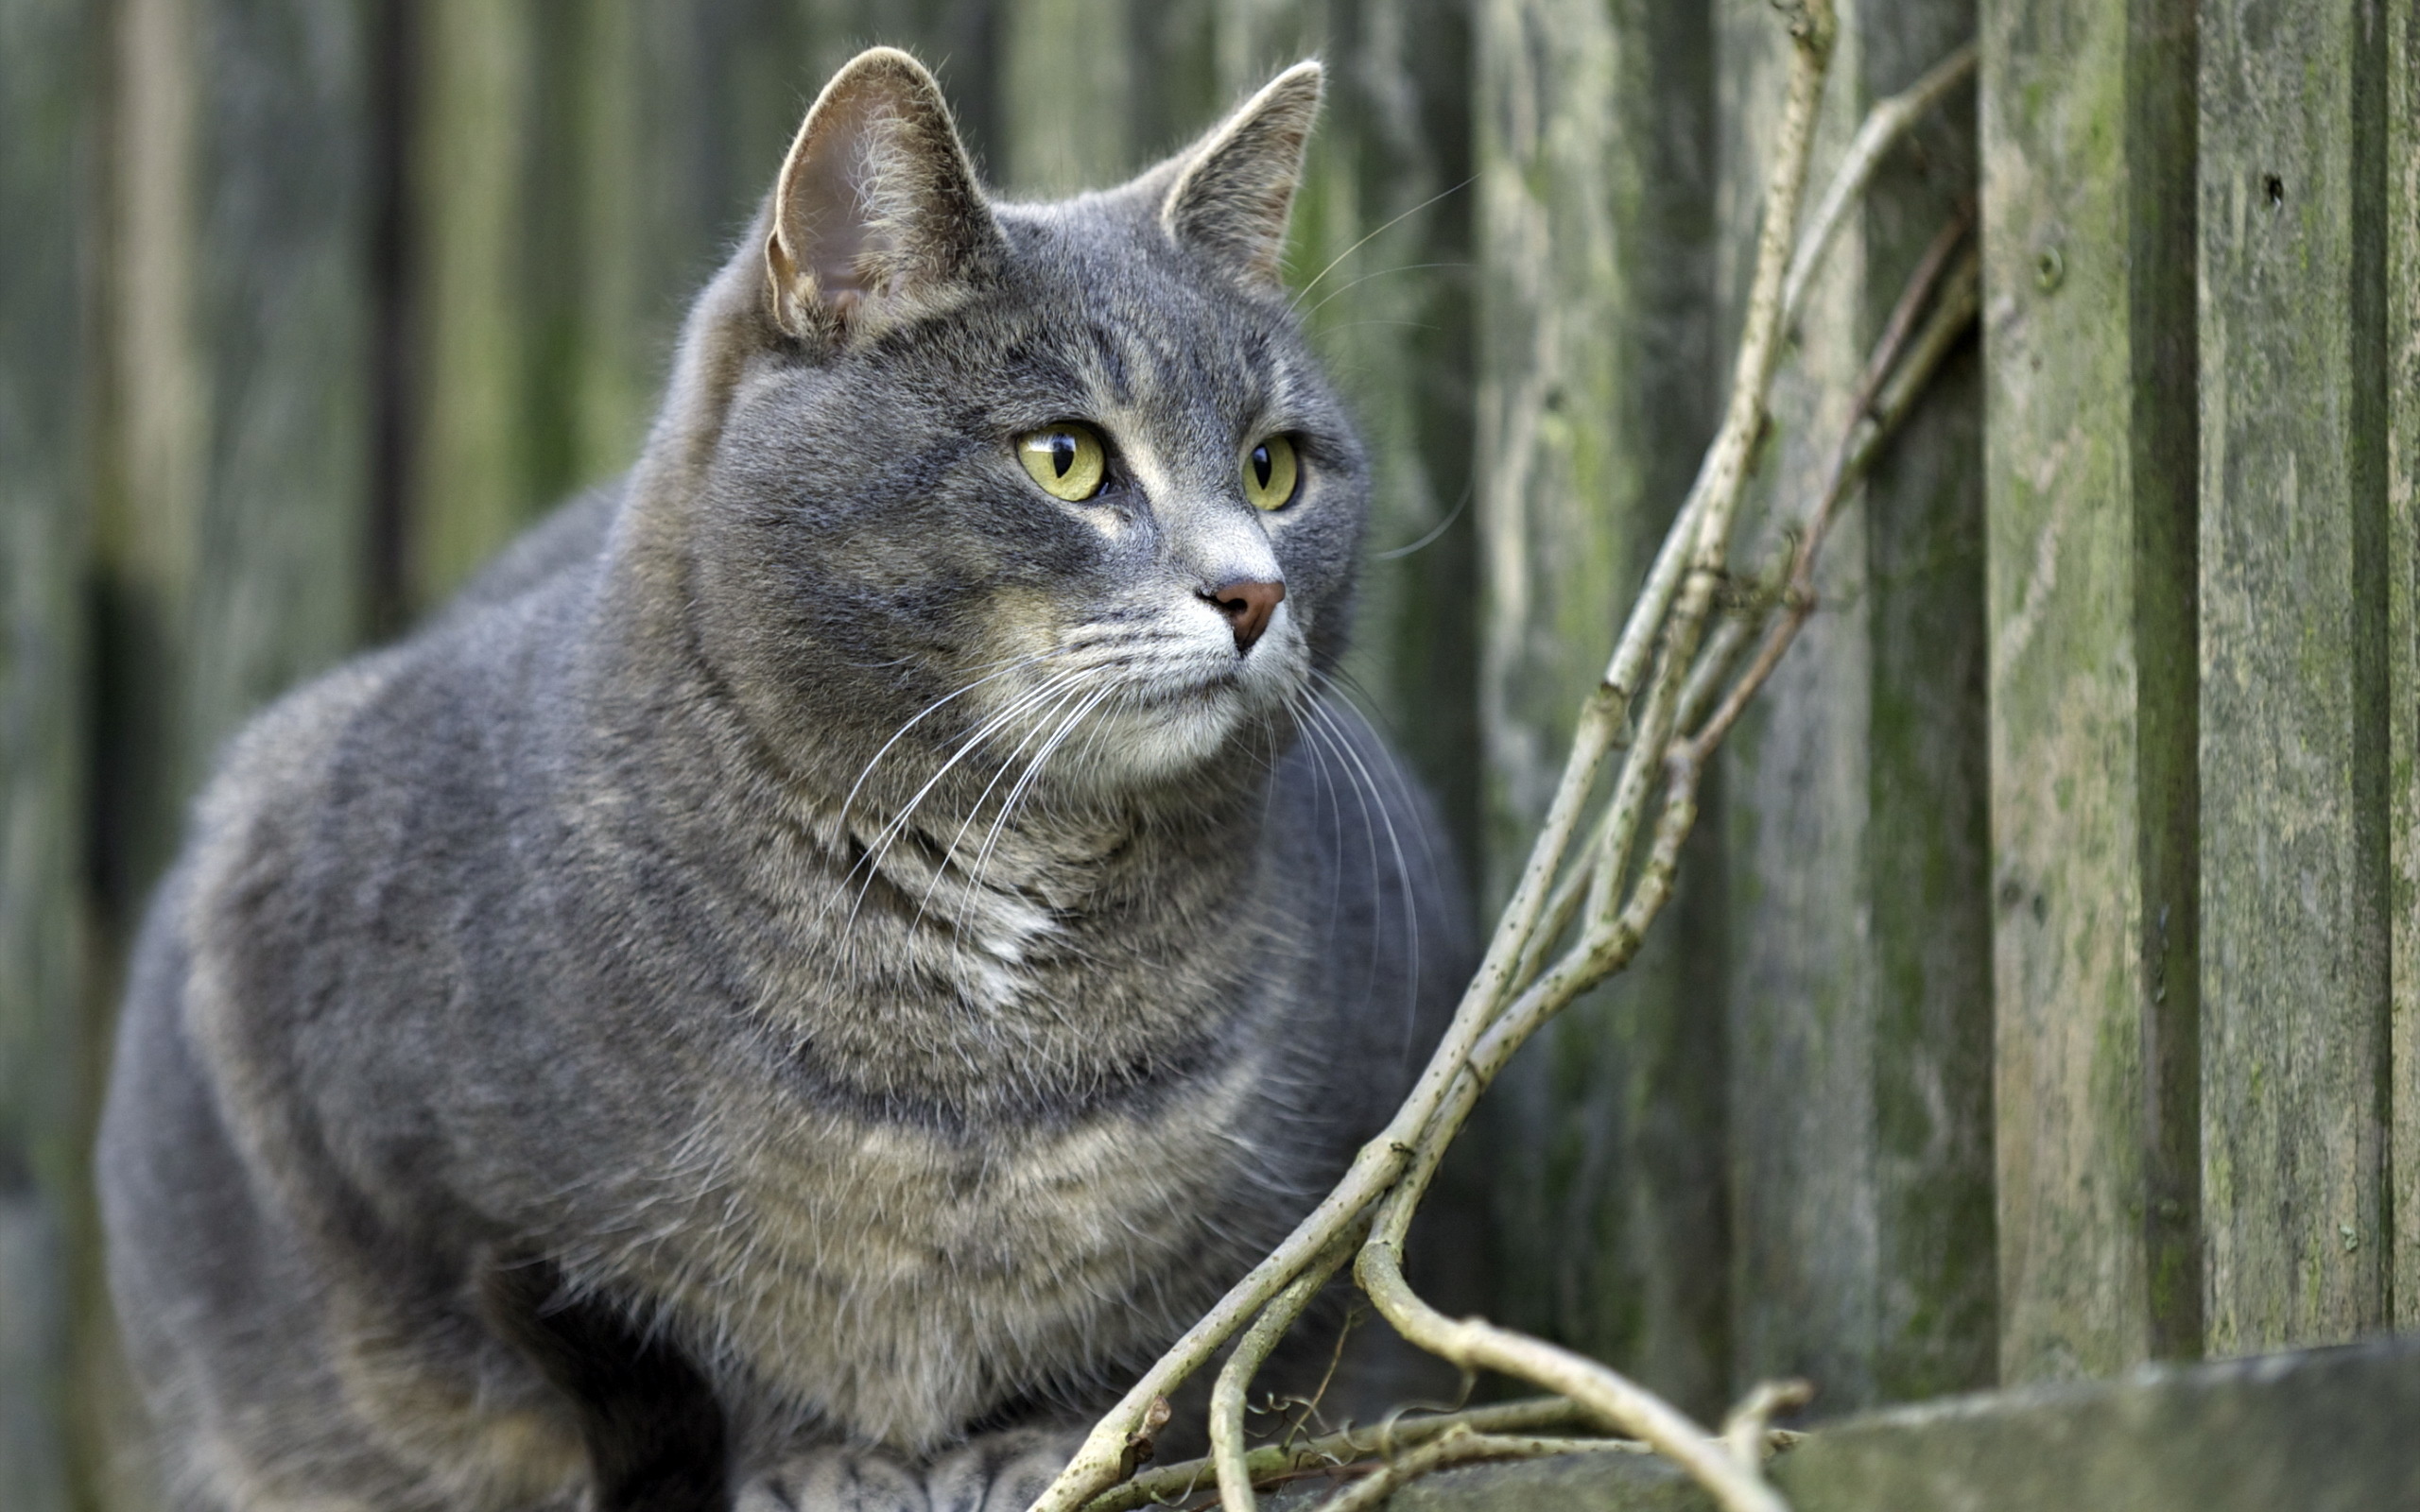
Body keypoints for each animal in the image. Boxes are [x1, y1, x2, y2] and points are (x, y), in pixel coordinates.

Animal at [104, 46, 1461, 1509]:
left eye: (1275, 468)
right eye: (1067, 457)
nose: (1254, 592)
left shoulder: (1351, 1147)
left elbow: (1194, 1331)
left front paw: (1038, 1436)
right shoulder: (310, 1031)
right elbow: (626, 1349)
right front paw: (817, 1458)